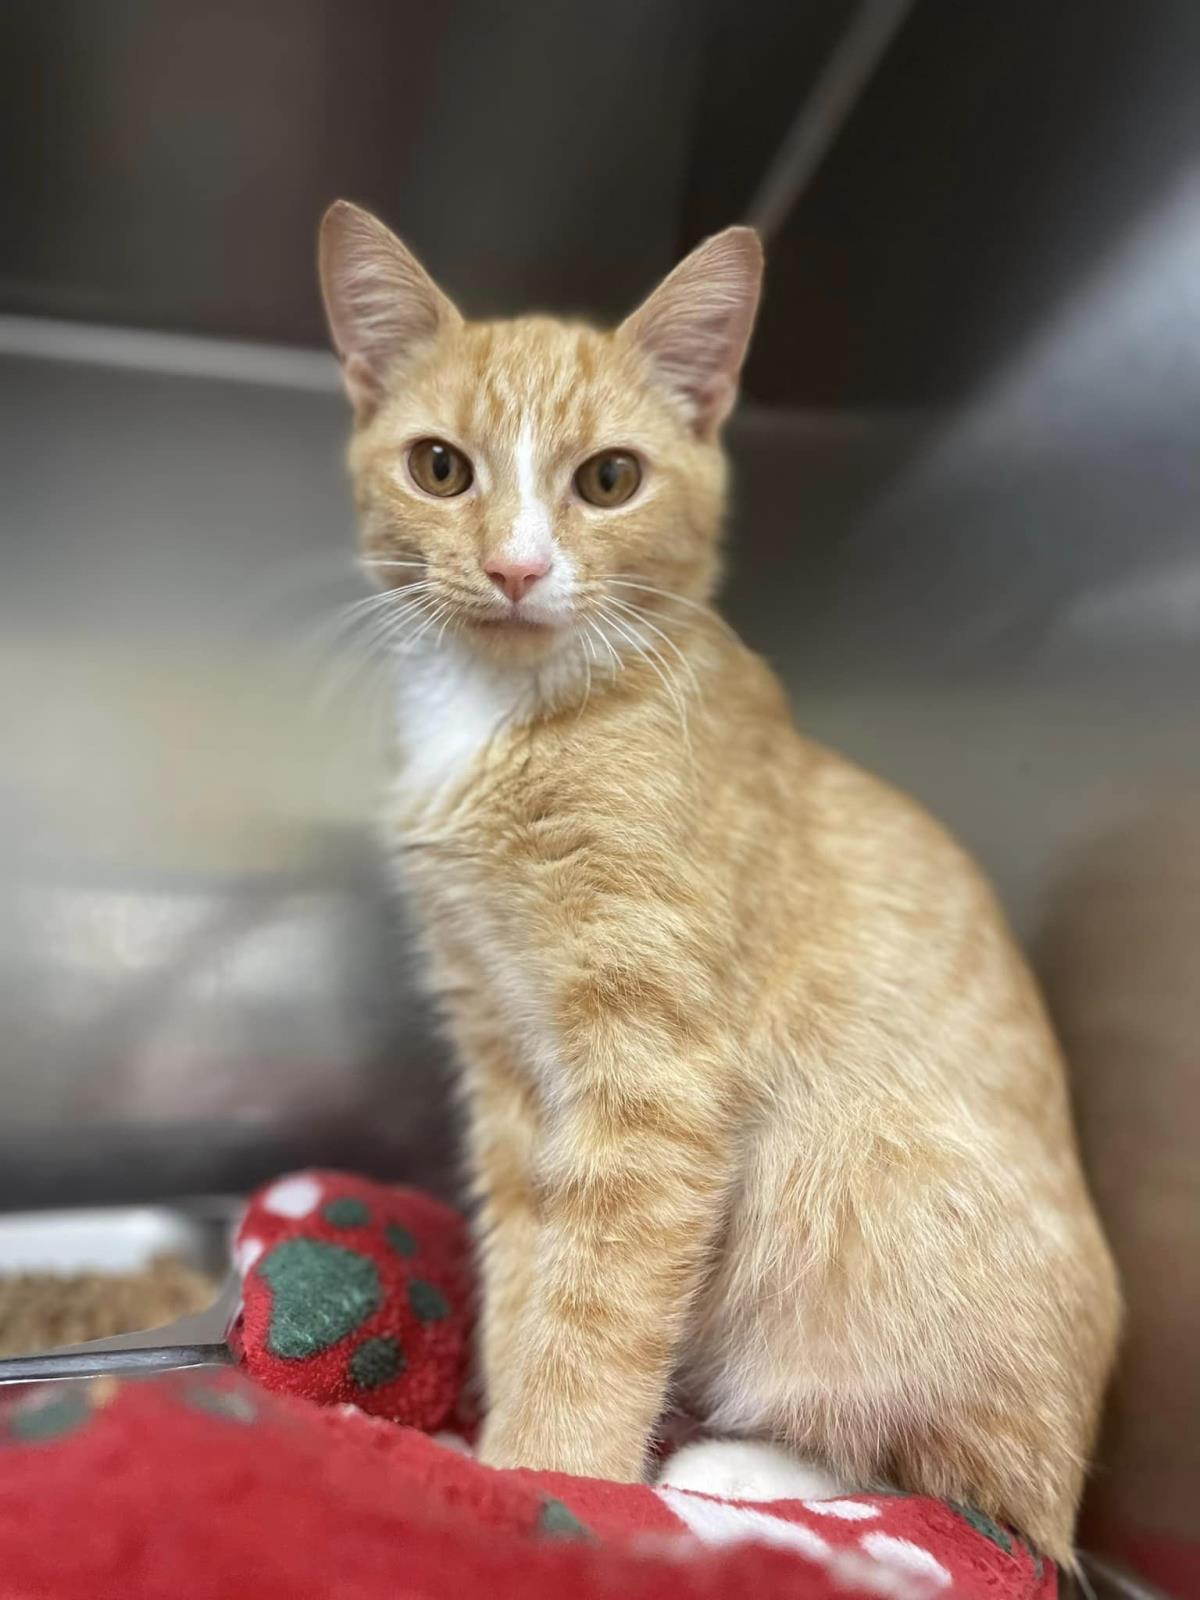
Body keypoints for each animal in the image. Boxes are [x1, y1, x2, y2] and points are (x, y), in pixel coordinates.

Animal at [316, 200, 1120, 1561]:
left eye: (608, 479)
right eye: (439, 468)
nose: (517, 569)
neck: (520, 713)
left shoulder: (658, 1080)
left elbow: (601, 1295)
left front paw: (550, 1474)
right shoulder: (508, 1065)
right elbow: (534, 1269)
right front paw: (503, 1420)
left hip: (841, 1175)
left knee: (961, 1485)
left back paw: (743, 1471)